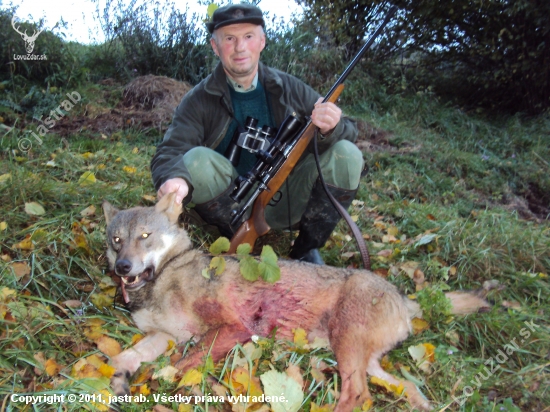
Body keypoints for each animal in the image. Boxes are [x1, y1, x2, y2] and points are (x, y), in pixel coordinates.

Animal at [103, 194, 492, 412]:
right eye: (117, 240)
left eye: (145, 237)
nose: (122, 268)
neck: (166, 275)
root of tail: (402, 296)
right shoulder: (164, 336)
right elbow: (124, 358)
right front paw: (119, 382)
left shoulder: (232, 328)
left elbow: (181, 366)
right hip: (364, 360)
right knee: (404, 387)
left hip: (346, 346)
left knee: (357, 396)